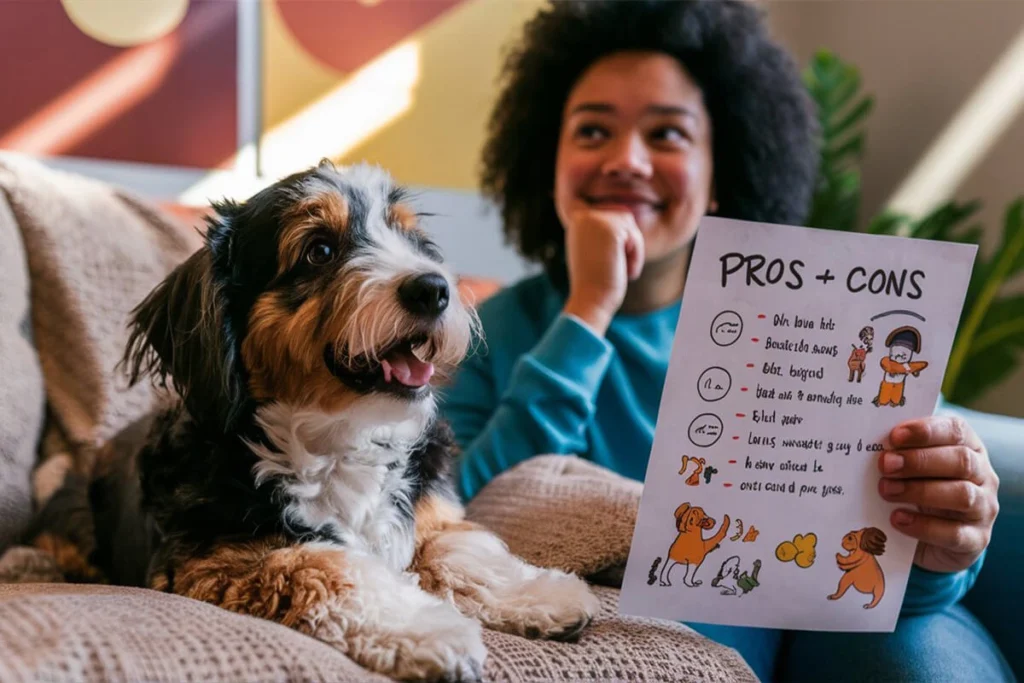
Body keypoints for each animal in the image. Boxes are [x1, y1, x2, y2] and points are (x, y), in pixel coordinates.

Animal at [24, 161, 598, 683]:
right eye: (318, 250)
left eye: (414, 240)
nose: (434, 288)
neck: (339, 439)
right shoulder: (215, 561)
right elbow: (331, 568)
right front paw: (430, 631)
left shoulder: (430, 514)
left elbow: (461, 548)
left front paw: (541, 594)